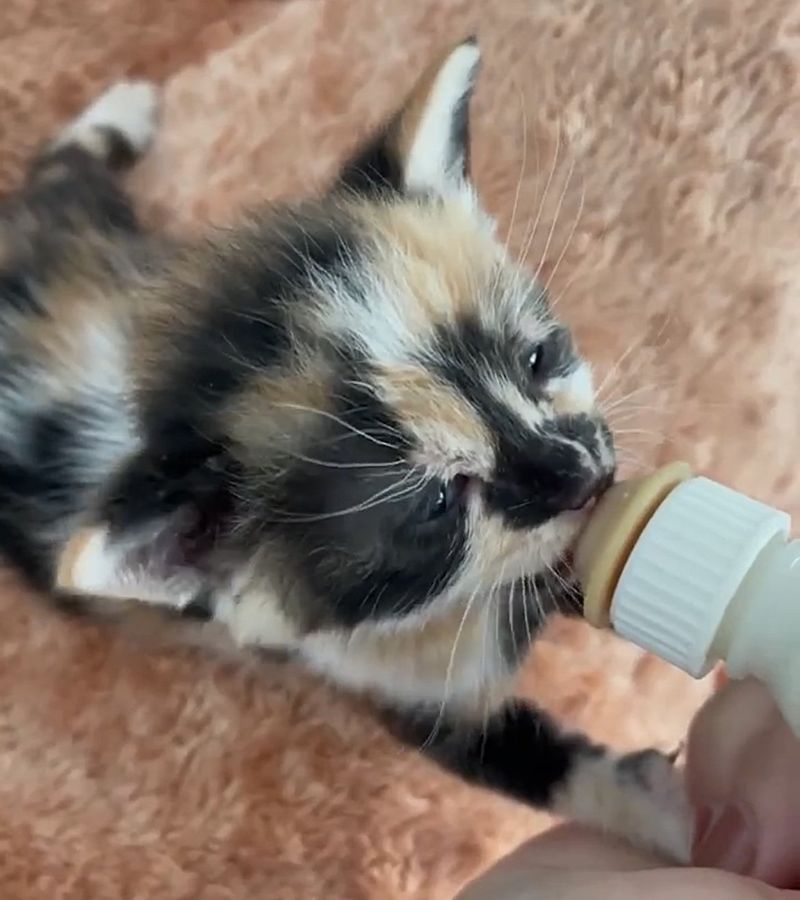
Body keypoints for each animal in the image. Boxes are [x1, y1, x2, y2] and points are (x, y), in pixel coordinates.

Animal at [0, 40, 688, 856]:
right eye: (435, 503)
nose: (586, 473)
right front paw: (671, 818)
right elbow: (529, 760)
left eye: (537, 357)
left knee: (57, 176)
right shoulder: (379, 678)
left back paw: (122, 114)